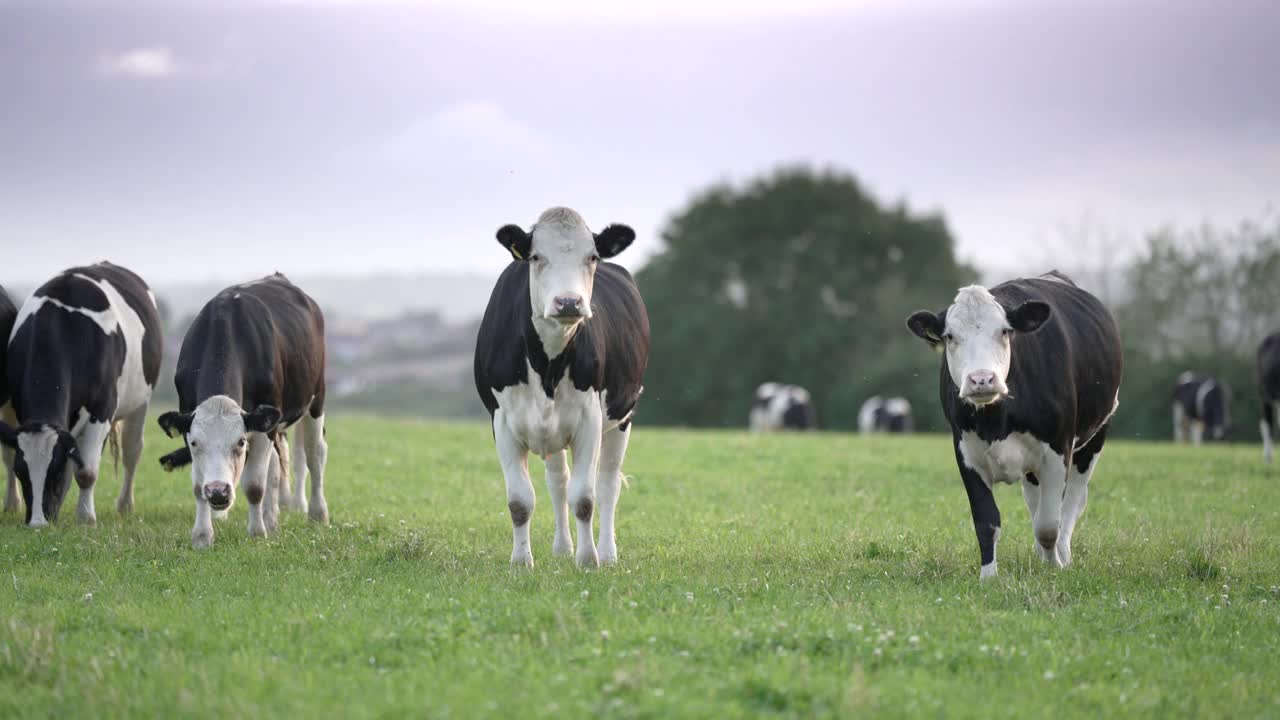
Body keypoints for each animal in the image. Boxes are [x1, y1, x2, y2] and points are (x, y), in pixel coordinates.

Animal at [0, 260, 163, 525]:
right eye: (21, 471)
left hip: (141, 401)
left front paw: (86, 518)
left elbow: (86, 472)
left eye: (53, 471)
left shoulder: (102, 410)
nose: (38, 523)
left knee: (132, 451)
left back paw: (125, 506)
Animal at [156, 271, 330, 545]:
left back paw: (317, 513)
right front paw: (202, 536)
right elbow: (197, 486)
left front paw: (257, 533)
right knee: (276, 467)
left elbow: (255, 485)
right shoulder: (187, 418)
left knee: (314, 454)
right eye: (194, 443)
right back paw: (271, 519)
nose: (218, 492)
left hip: (316, 398)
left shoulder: (262, 426)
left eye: (240, 442)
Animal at [473, 206, 650, 566]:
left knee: (608, 483)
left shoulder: (590, 420)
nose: (569, 302)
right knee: (558, 482)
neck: (547, 365)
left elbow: (584, 498)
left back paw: (607, 553)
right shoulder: (502, 421)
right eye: (536, 257)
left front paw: (588, 560)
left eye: (592, 256)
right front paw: (521, 562)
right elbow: (520, 501)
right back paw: (561, 548)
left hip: (622, 417)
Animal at [911, 269, 1121, 576]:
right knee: (1035, 499)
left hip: (1095, 436)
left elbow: (1049, 524)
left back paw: (1062, 555)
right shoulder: (966, 454)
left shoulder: (1058, 450)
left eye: (1004, 331)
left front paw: (1054, 567)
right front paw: (988, 577)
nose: (981, 379)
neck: (995, 420)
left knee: (1072, 501)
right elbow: (986, 522)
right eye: (950, 336)